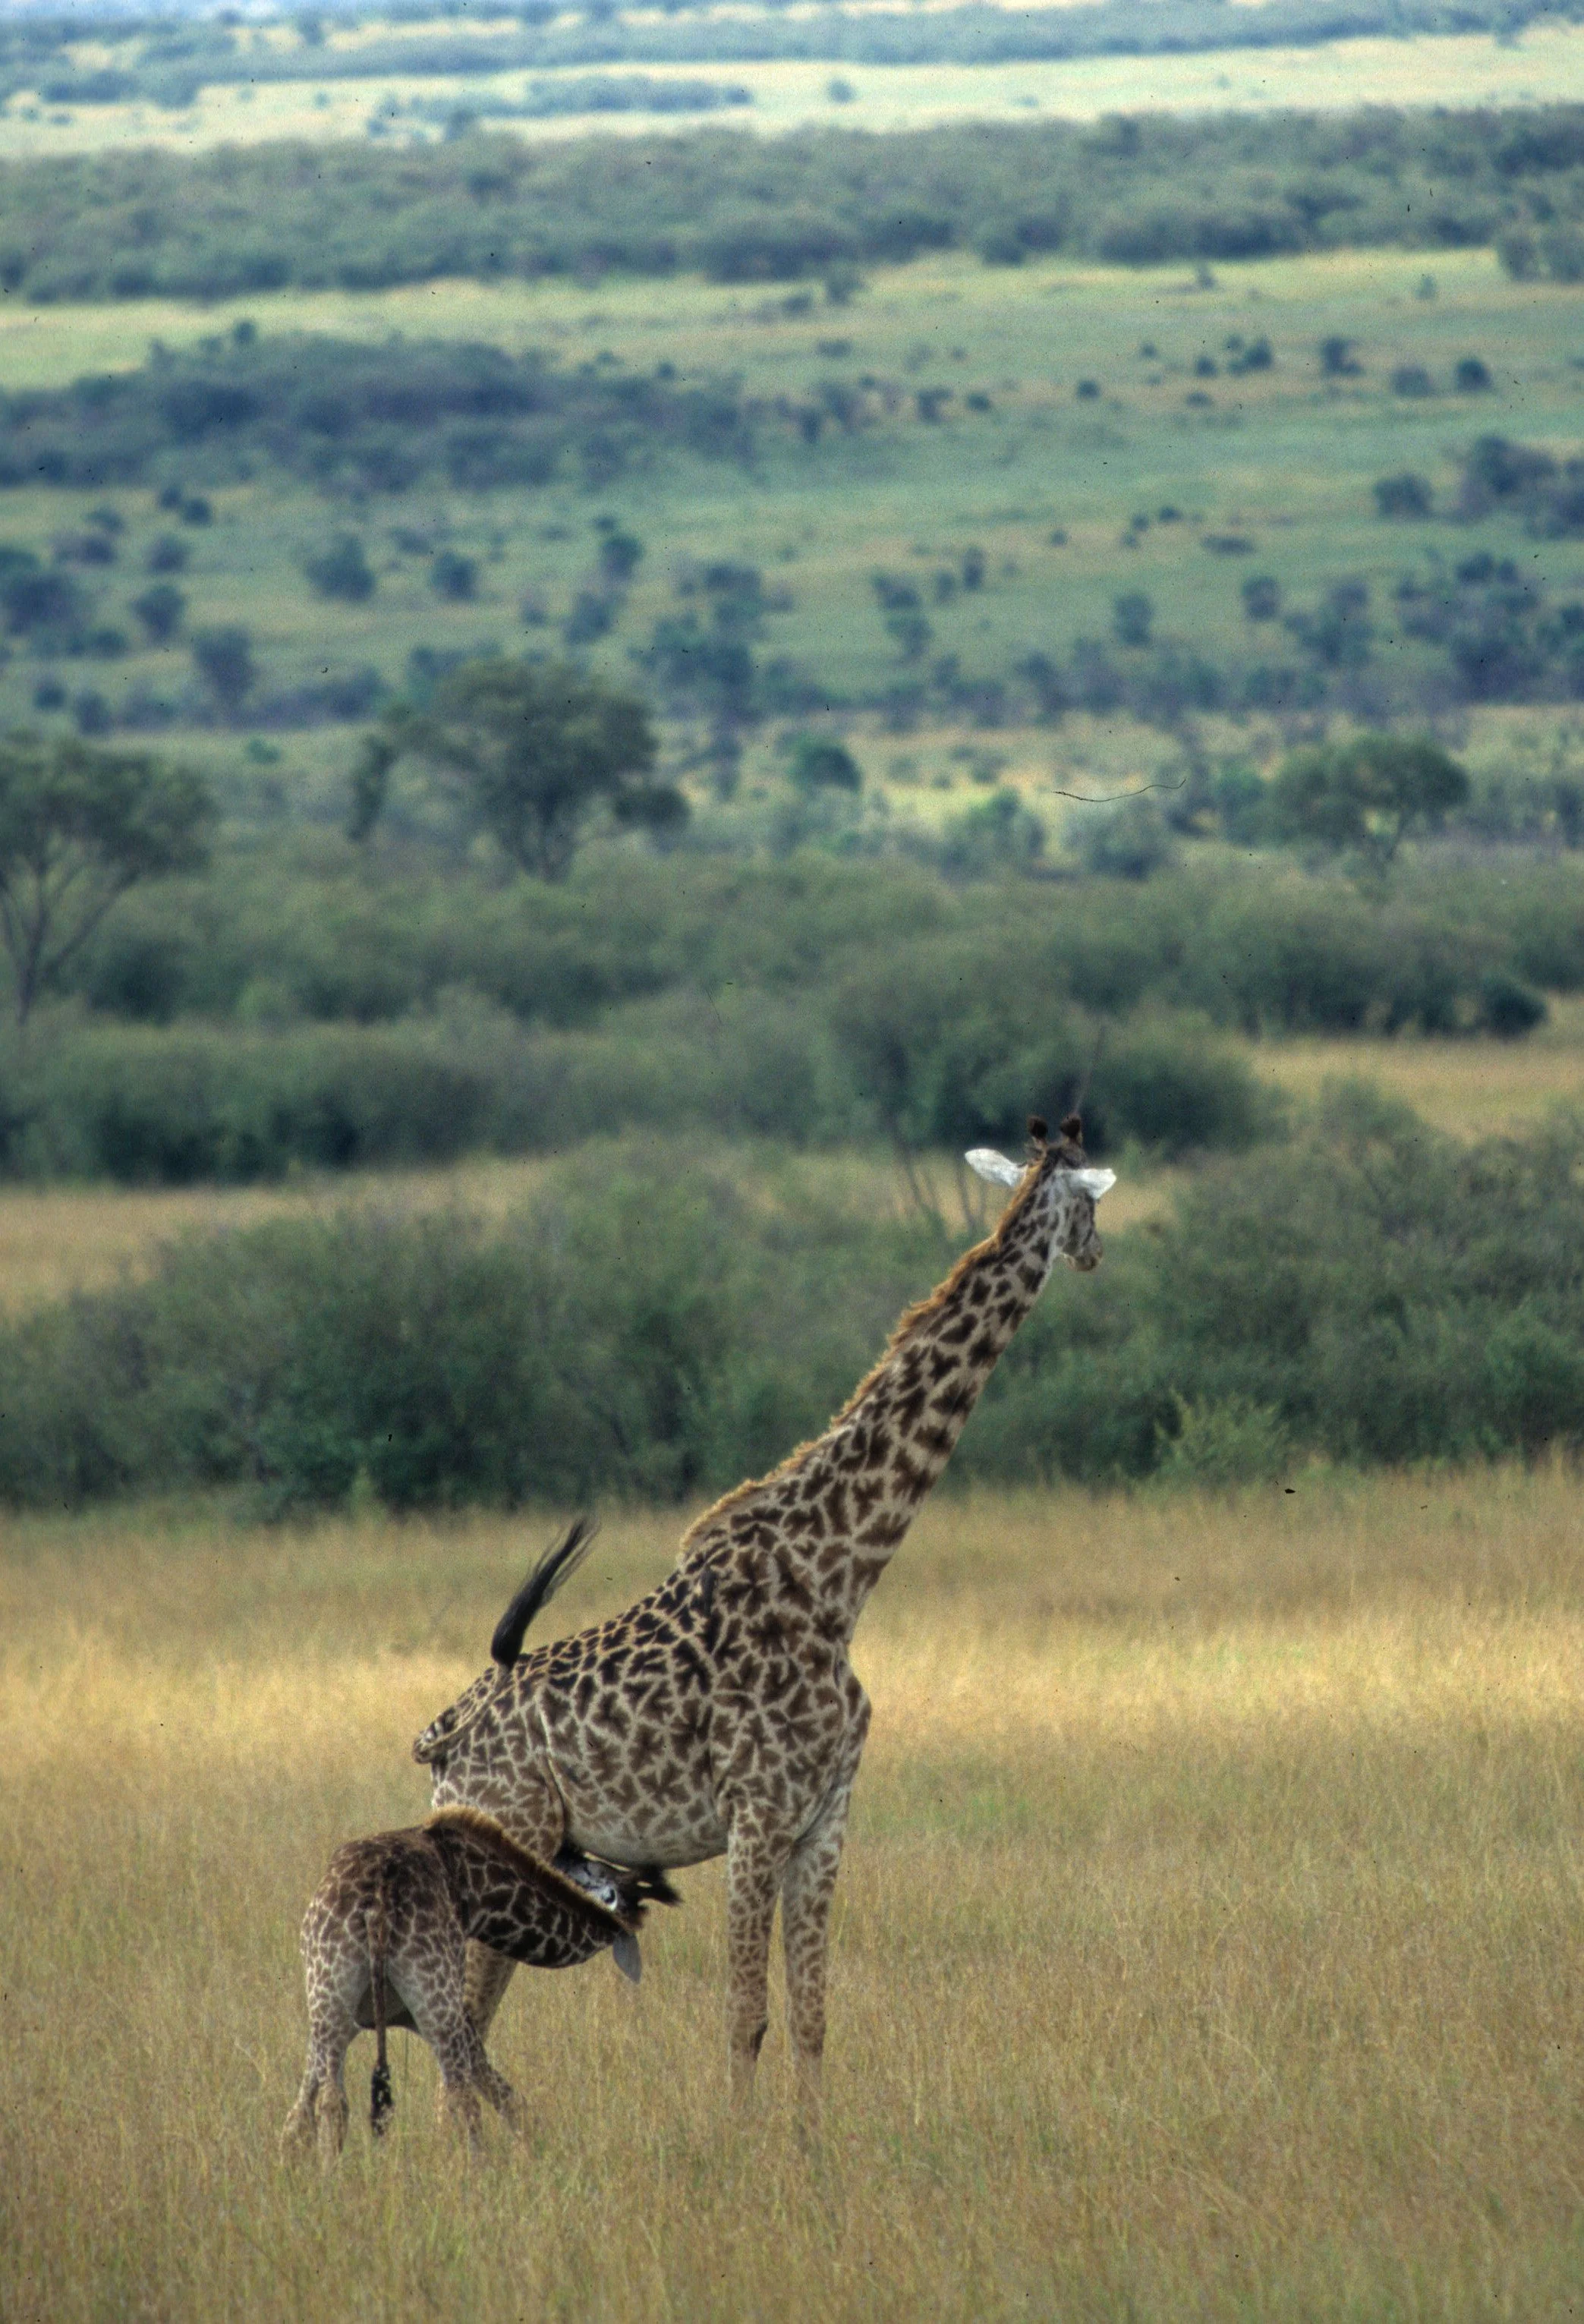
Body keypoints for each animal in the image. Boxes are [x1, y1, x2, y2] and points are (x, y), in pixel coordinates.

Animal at [280, 1804, 678, 2164]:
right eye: (598, 1867)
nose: (568, 1847)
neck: (476, 1888)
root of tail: (378, 1899)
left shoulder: (361, 2019)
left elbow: (299, 2110)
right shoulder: (443, 2011)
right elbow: (496, 2088)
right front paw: (534, 2149)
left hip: (332, 1994)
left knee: (334, 2101)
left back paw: (332, 2176)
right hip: (434, 2000)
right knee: (463, 2101)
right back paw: (474, 2175)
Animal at [413, 1113, 1114, 2117]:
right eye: (1091, 1201)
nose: (1094, 1250)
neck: (836, 1577)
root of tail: (439, 1739)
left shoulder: (824, 1816)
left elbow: (811, 2013)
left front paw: (808, 2144)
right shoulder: (755, 1813)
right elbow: (744, 2013)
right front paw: (738, 2143)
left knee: (462, 2033)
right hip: (514, 1836)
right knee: (456, 2029)